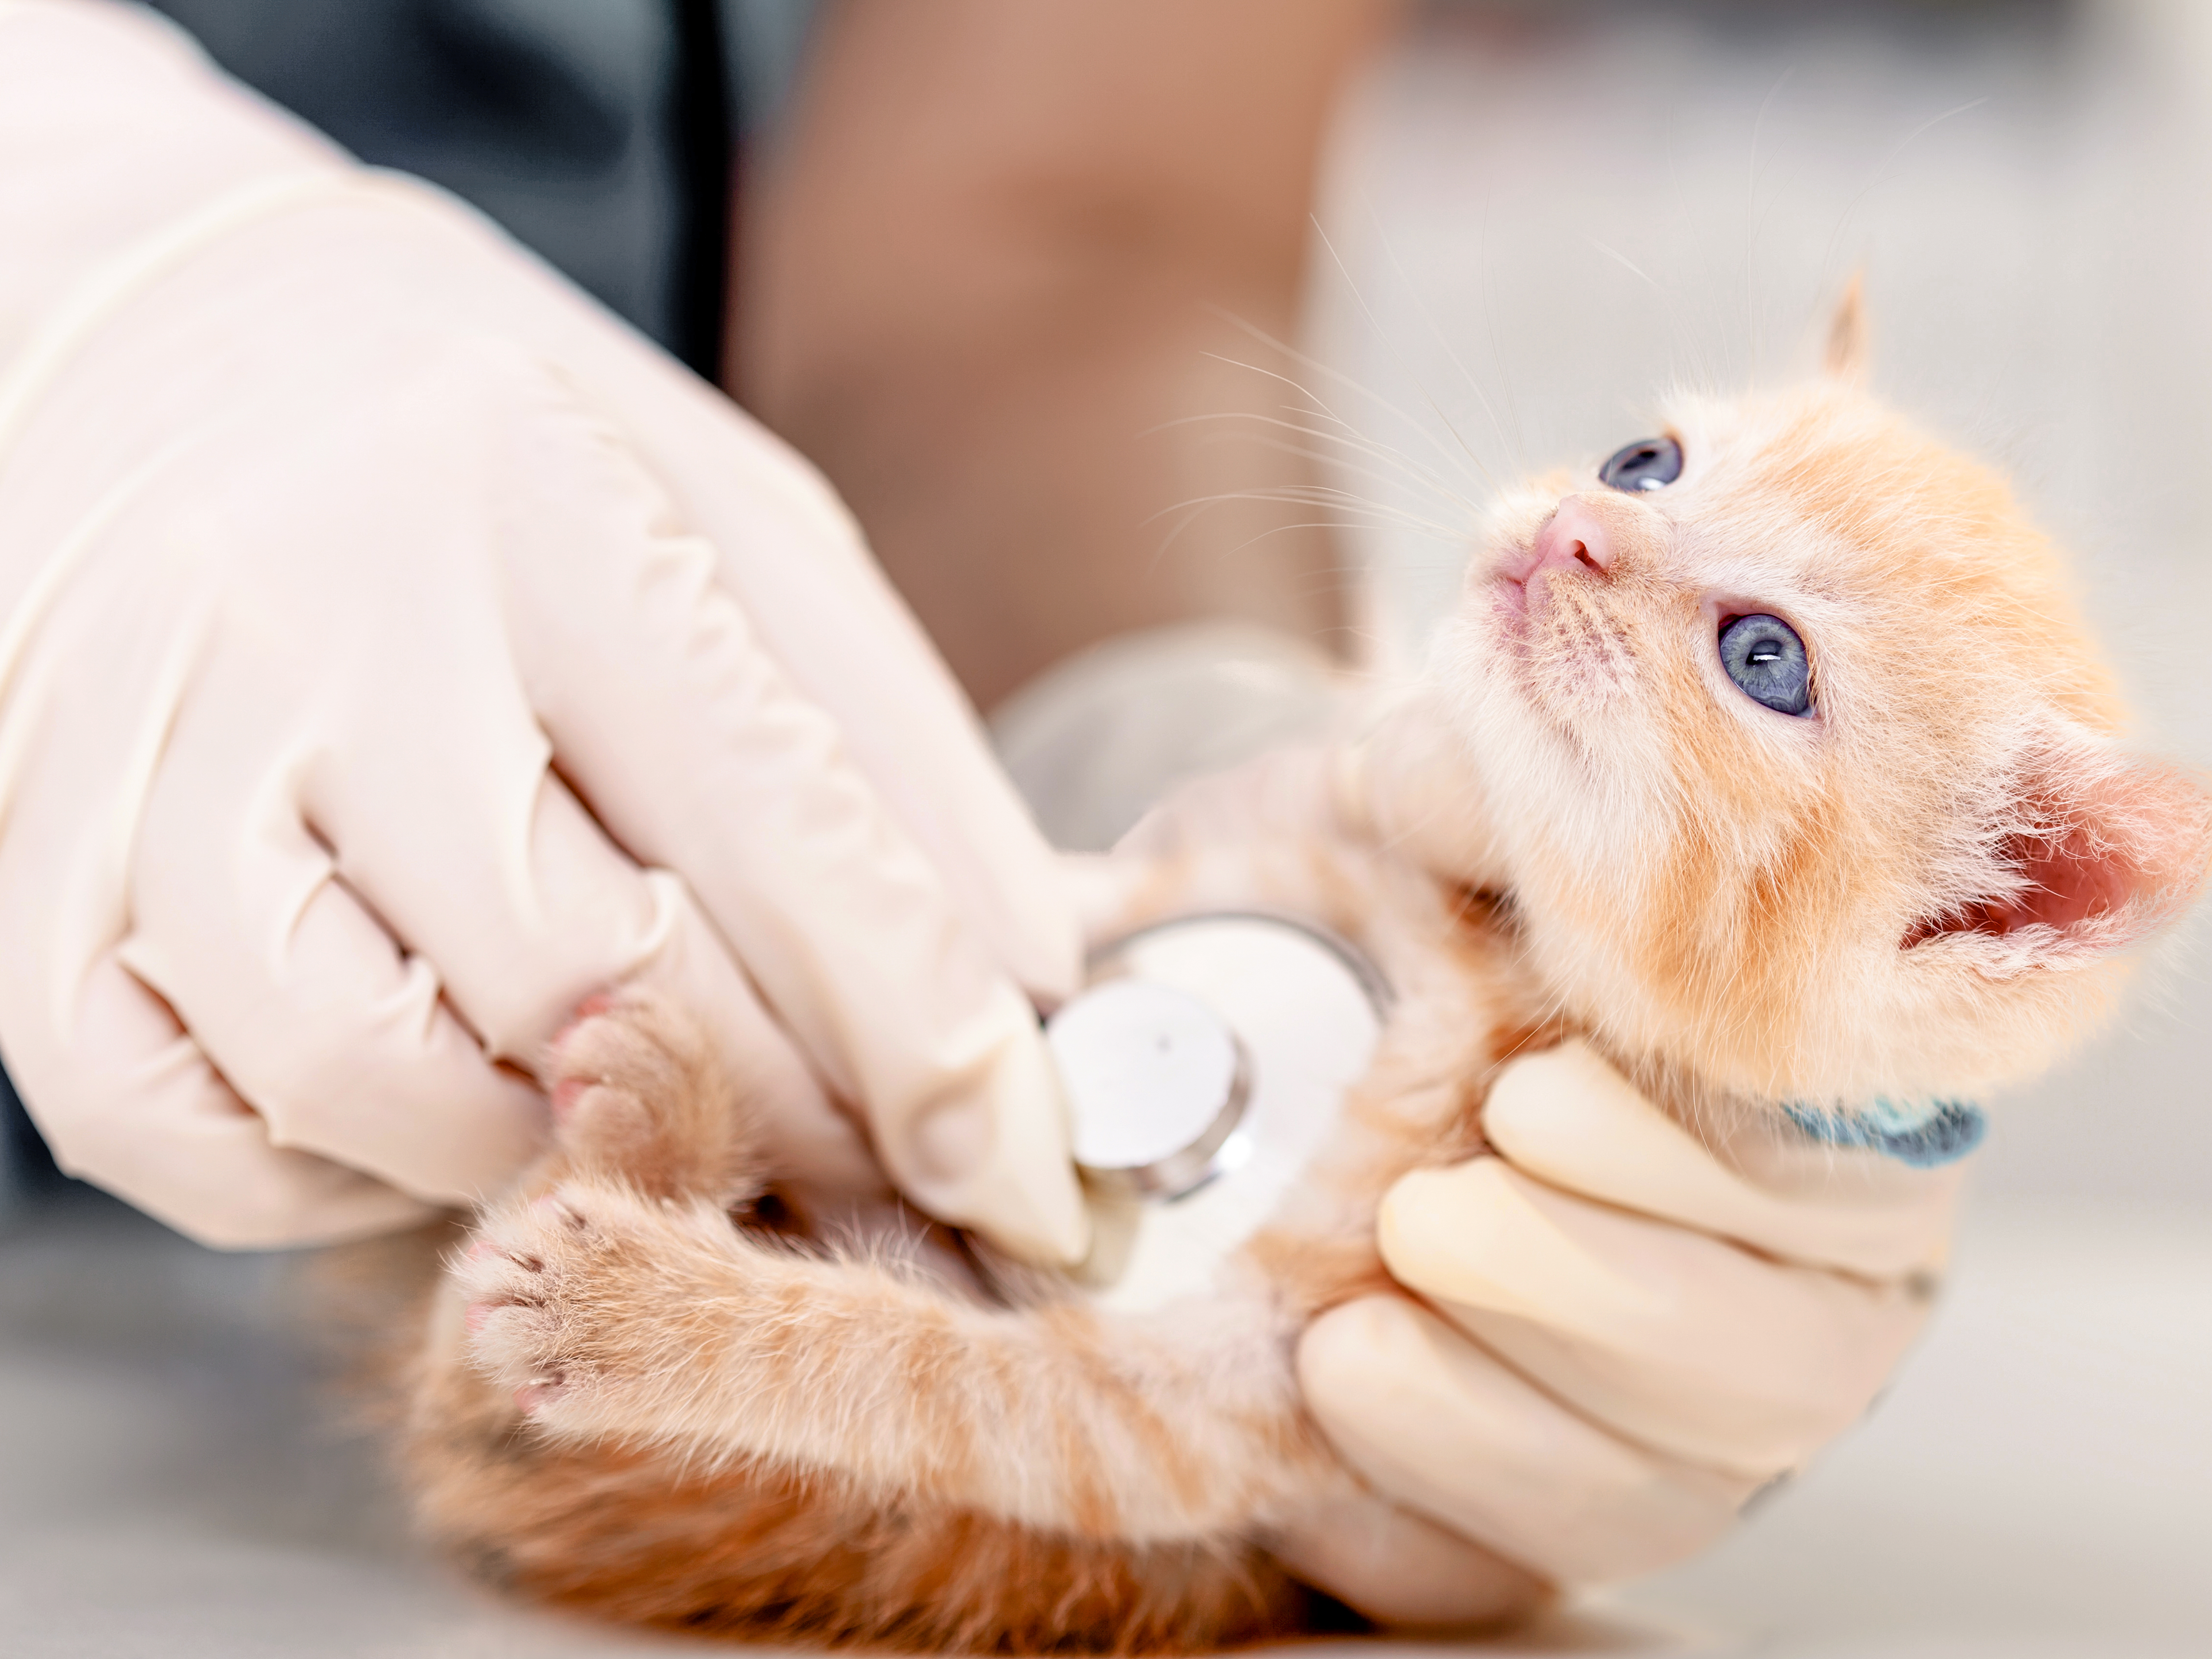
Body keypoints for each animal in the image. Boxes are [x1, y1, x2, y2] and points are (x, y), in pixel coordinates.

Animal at [398, 305, 2212, 1654]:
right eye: (1648, 458)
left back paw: (631, 1141)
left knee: (467, 1407)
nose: (1577, 526)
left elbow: (933, 1376)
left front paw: (643, 1309)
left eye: (1764, 660)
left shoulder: (1214, 1409)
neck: (1448, 918)